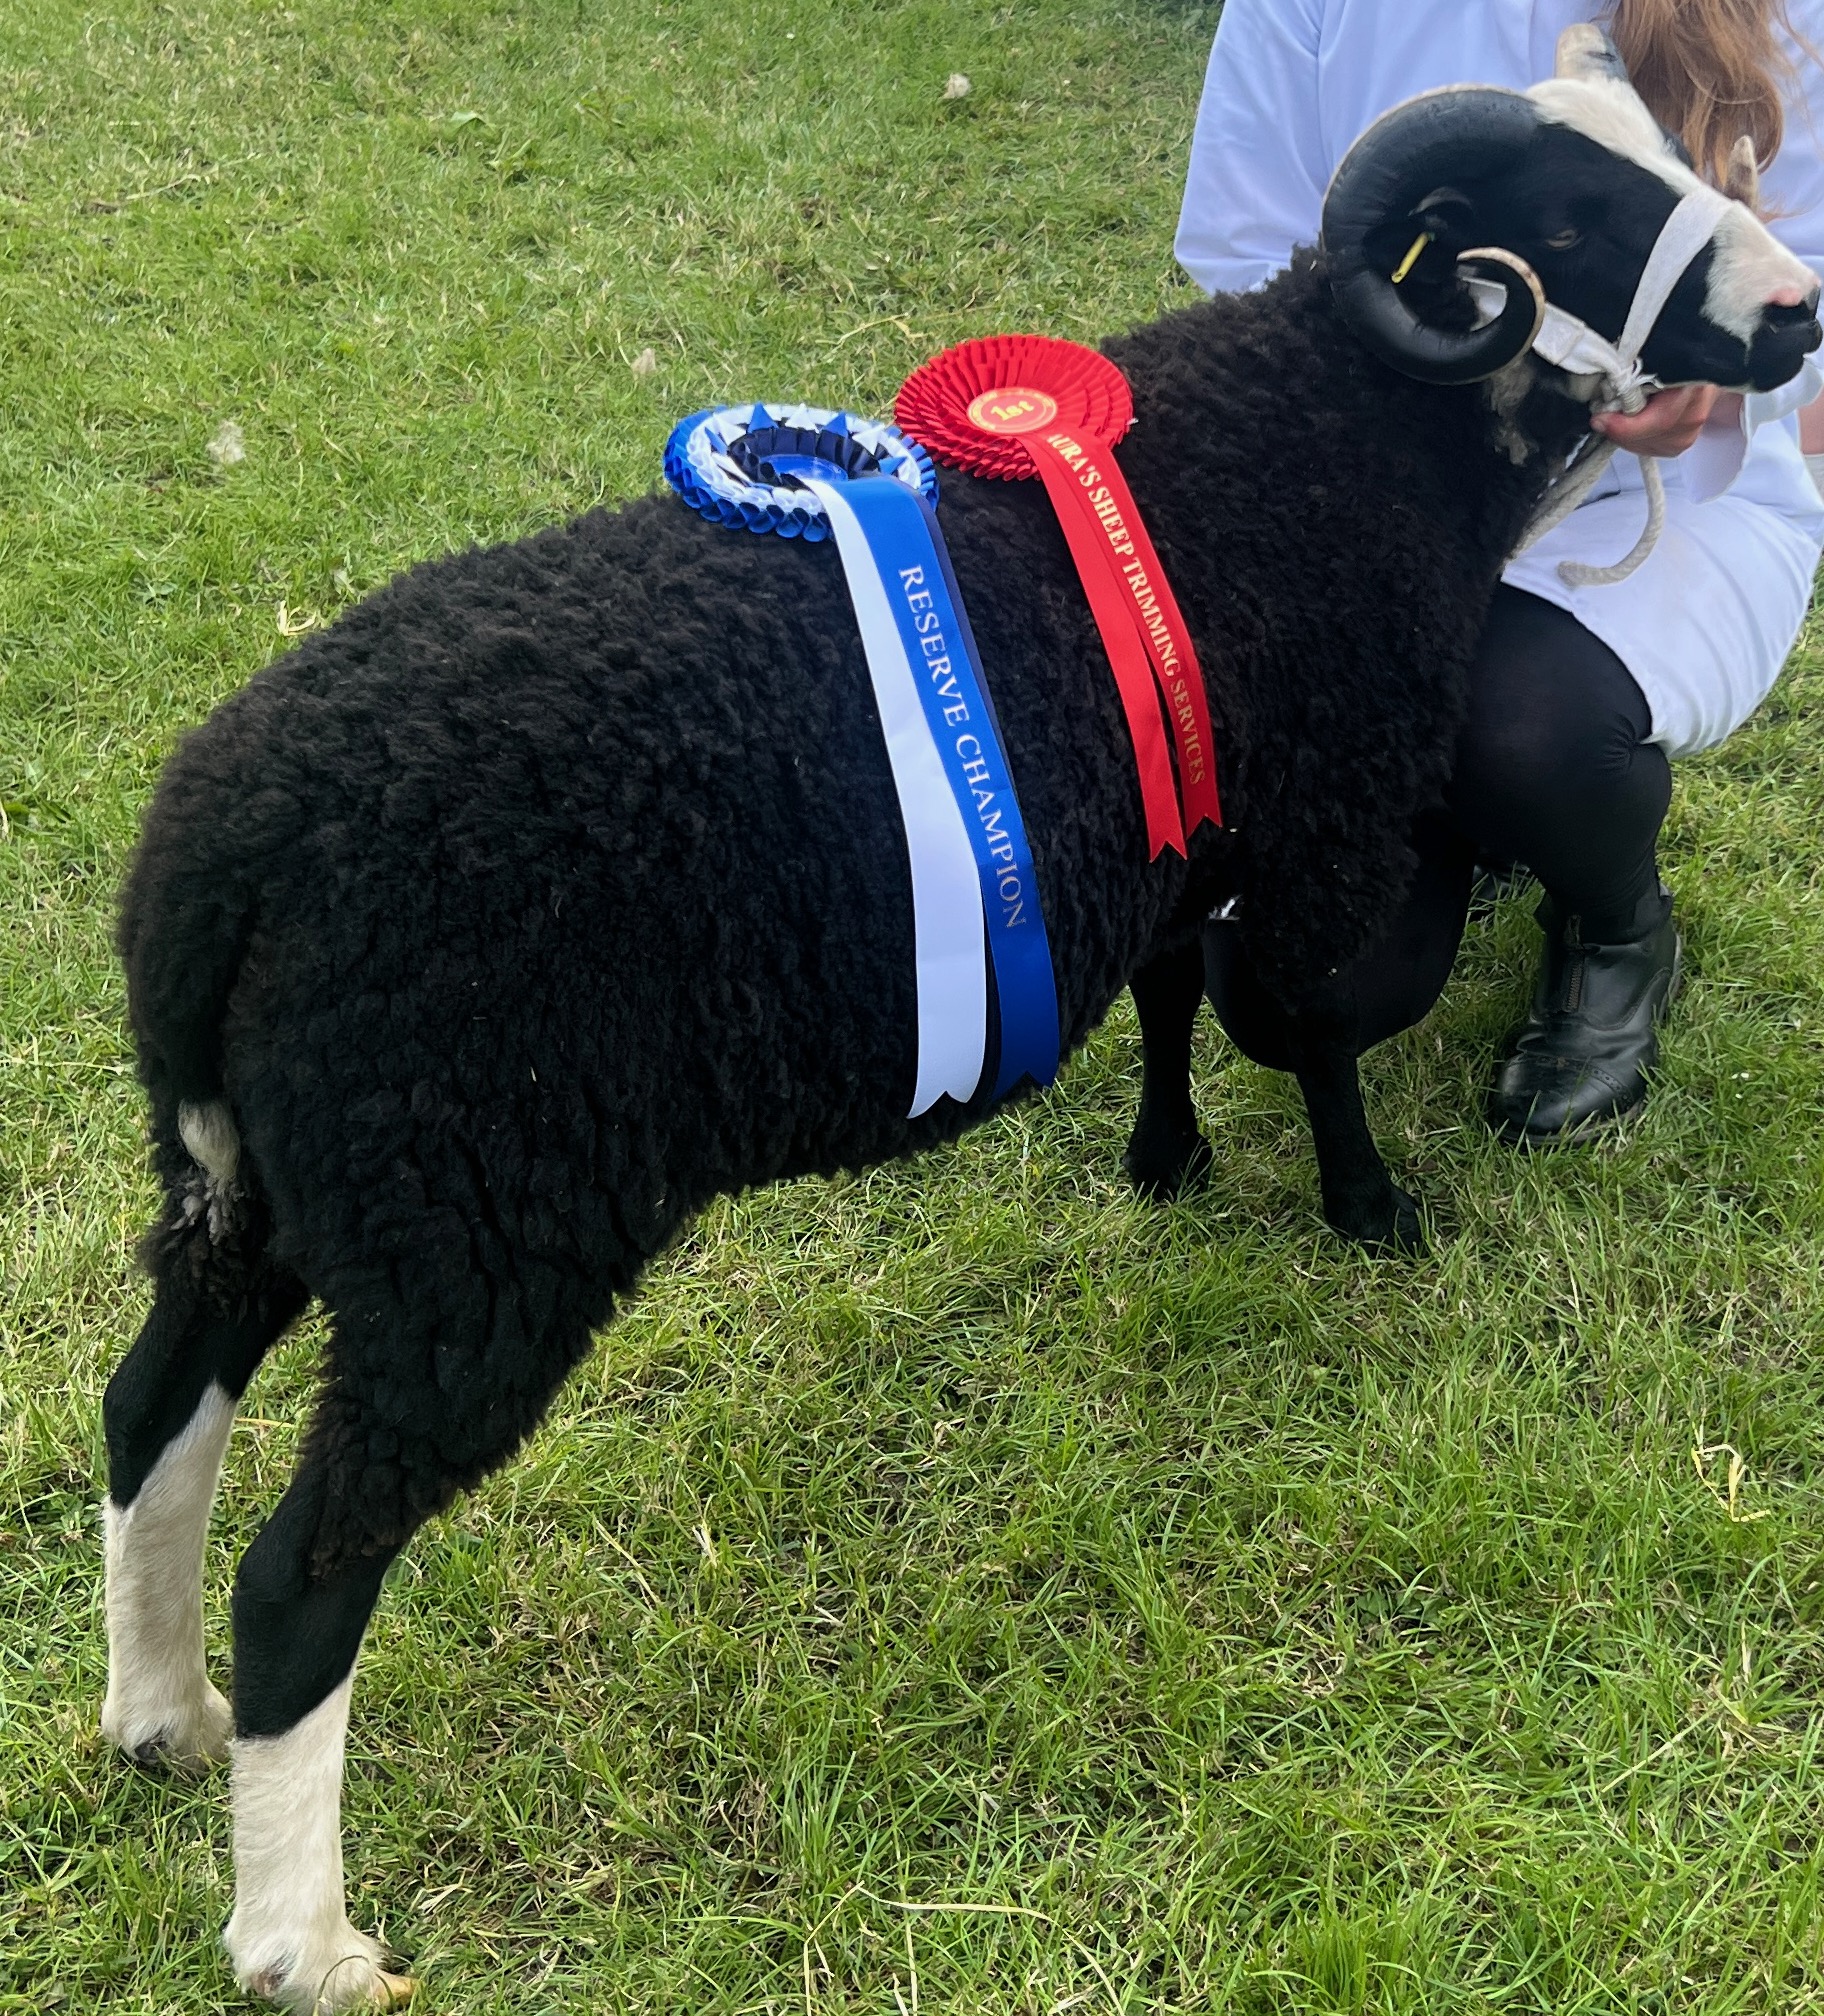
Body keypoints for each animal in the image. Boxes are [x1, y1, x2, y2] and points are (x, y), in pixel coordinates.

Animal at [98, 46, 1818, 2013]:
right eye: (1570, 220)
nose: (1794, 310)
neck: (1339, 428)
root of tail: (224, 861)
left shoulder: (1180, 823)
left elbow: (1174, 993)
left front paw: (1163, 1159)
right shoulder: (1320, 814)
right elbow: (1313, 1030)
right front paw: (1370, 1210)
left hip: (260, 1186)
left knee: (149, 1409)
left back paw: (157, 1720)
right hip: (473, 1230)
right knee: (306, 1574)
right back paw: (304, 1940)